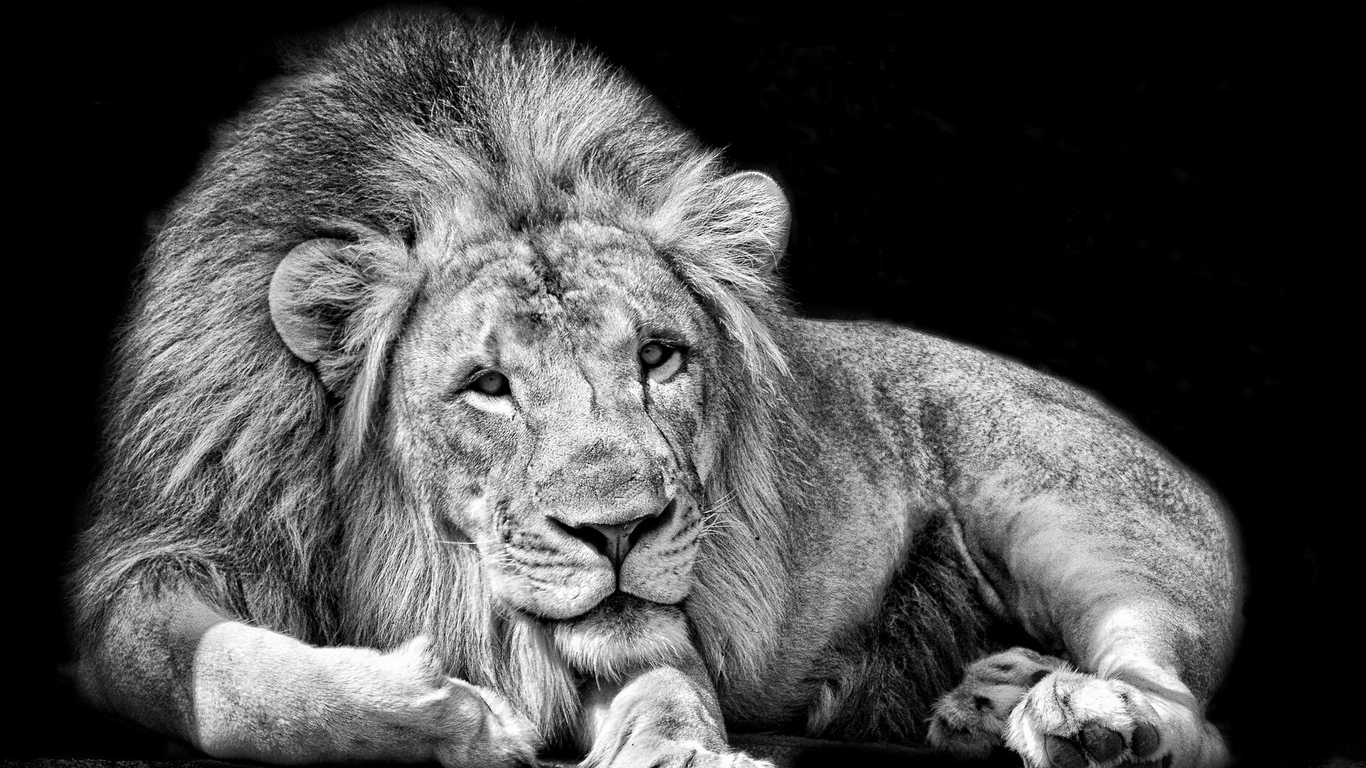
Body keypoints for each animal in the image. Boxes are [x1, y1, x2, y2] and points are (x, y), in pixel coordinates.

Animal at [68, 10, 1241, 768]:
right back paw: (984, 700)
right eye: (487, 386)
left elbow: (669, 682)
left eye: (661, 359)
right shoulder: (152, 558)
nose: (620, 531)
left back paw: (1088, 723)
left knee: (1180, 703)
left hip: (1072, 521)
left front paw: (676, 751)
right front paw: (448, 712)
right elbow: (221, 681)